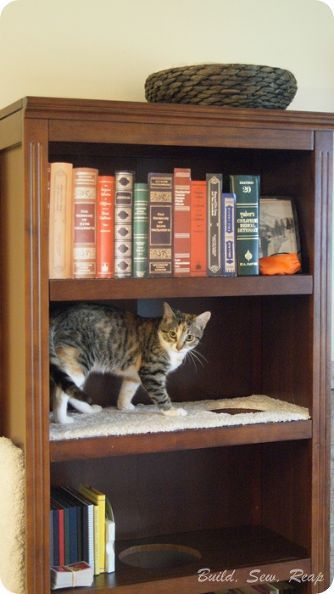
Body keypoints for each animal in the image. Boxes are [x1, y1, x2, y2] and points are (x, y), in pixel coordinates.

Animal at [49, 302, 211, 424]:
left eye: (189, 337)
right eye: (172, 334)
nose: (179, 347)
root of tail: (60, 314)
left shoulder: (134, 375)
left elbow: (127, 390)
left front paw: (124, 406)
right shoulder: (151, 372)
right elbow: (161, 394)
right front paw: (172, 411)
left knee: (73, 391)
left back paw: (89, 410)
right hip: (79, 359)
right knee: (61, 392)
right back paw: (63, 420)